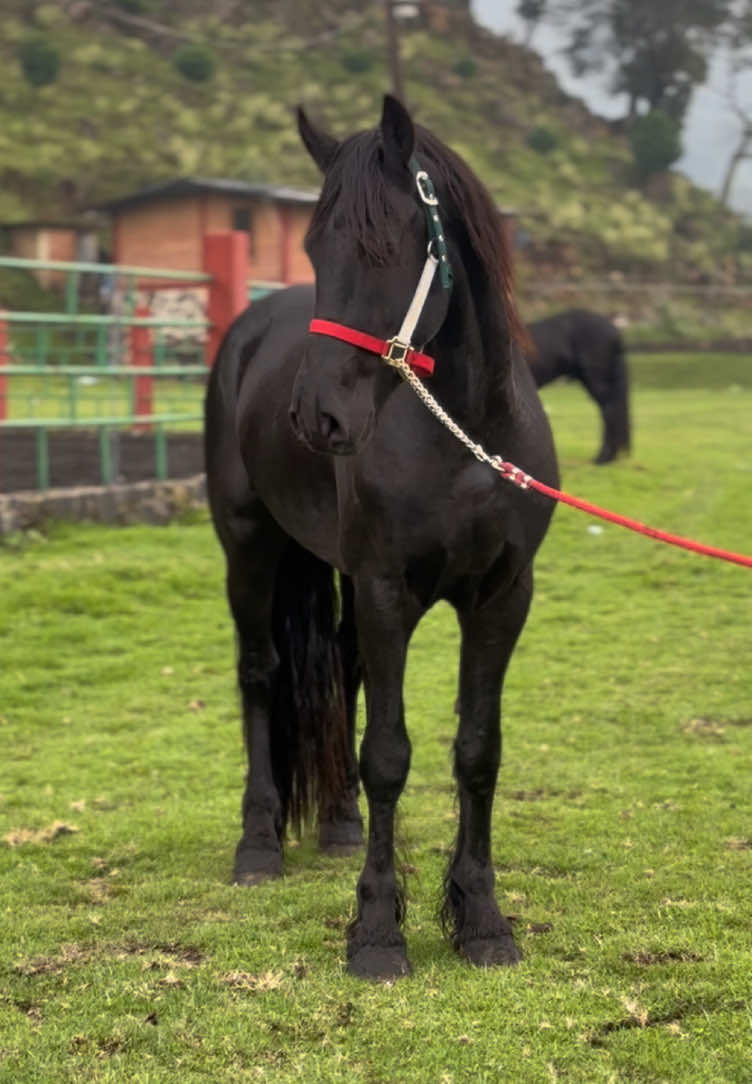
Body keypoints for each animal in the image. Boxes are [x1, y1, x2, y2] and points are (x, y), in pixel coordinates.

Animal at [205, 95, 559, 984]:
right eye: (312, 244)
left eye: (387, 244)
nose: (317, 418)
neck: (465, 437)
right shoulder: (385, 590)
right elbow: (389, 754)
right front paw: (375, 932)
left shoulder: (501, 597)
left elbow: (477, 749)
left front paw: (482, 921)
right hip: (248, 547)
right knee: (260, 673)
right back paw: (258, 843)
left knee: (336, 668)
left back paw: (336, 823)